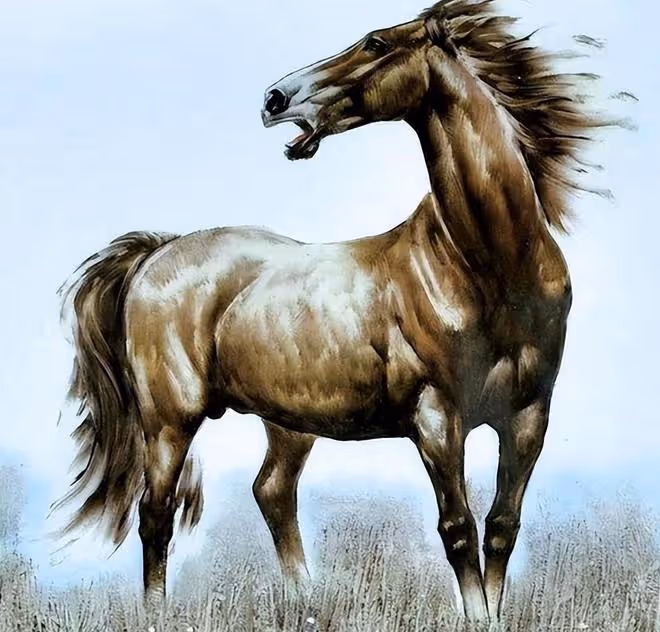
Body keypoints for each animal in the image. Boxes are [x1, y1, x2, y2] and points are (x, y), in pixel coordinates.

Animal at [55, 0, 622, 624]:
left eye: (375, 42)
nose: (275, 99)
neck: (490, 269)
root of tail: (159, 250)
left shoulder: (527, 418)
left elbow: (501, 527)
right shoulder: (437, 421)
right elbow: (458, 529)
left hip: (287, 422)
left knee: (272, 492)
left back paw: (309, 604)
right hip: (168, 421)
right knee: (156, 515)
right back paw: (160, 614)